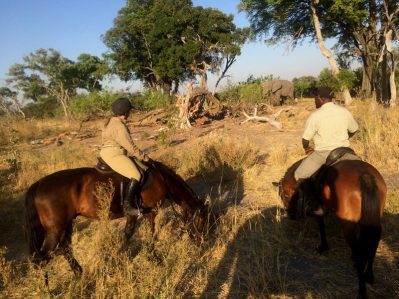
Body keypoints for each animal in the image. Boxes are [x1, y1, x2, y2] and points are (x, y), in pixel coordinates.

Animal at [24, 162, 209, 276]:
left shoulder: (142, 214)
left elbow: (140, 233)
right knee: (41, 258)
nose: (203, 245)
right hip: (55, 229)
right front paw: (126, 259)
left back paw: (79, 273)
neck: (161, 179)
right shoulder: (144, 213)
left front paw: (146, 257)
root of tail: (38, 185)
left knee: (64, 249)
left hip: (67, 224)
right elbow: (138, 234)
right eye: (202, 221)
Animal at [276, 158, 388, 298]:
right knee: (372, 245)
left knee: (361, 256)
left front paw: (323, 246)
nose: (291, 215)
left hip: (348, 226)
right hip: (374, 219)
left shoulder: (319, 207)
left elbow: (321, 226)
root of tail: (365, 176)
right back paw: (369, 275)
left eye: (284, 195)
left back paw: (362, 291)